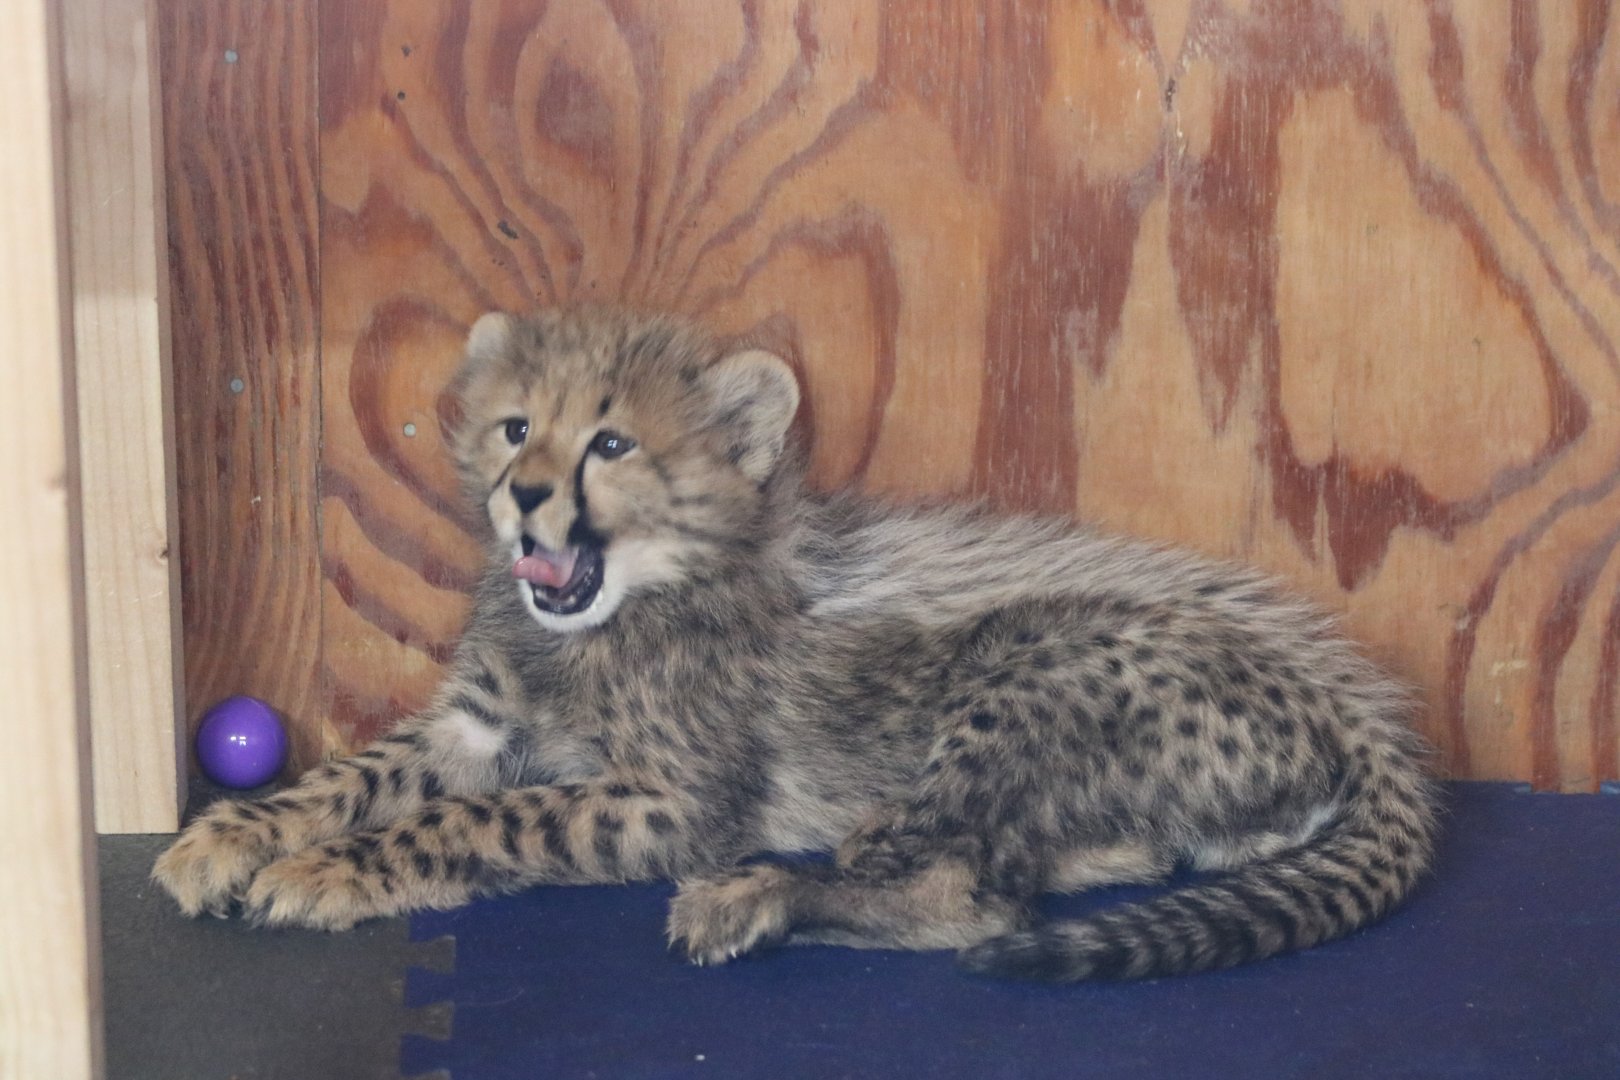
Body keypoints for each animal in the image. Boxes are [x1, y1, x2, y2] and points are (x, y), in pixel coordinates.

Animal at [154, 306, 1439, 981]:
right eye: (517, 428)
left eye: (610, 445)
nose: (524, 497)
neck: (621, 613)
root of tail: (1345, 698)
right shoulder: (476, 725)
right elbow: (357, 775)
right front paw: (233, 836)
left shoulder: (670, 804)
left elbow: (483, 819)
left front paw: (332, 870)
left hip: (1031, 667)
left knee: (974, 900)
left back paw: (757, 895)